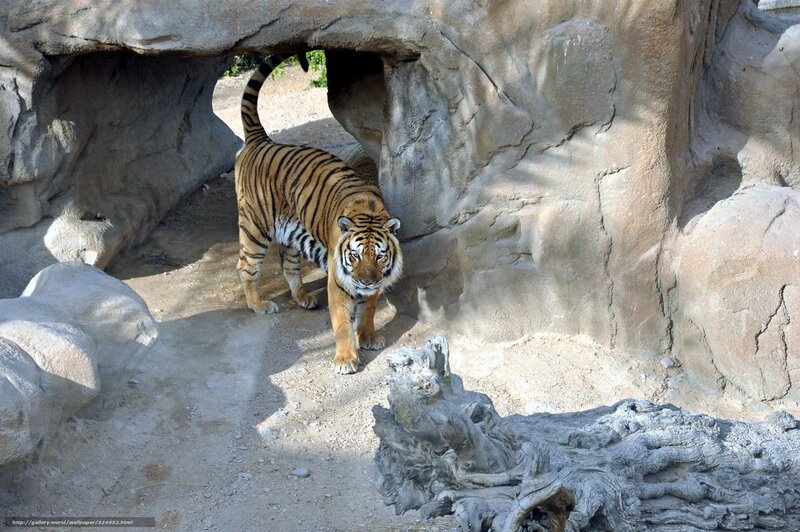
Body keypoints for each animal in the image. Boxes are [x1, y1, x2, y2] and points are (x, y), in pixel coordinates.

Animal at [235, 53, 403, 375]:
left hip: (290, 232)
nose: (365, 282)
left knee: (289, 265)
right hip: (254, 227)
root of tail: (261, 140)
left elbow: (368, 310)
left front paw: (369, 336)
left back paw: (302, 297)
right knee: (246, 266)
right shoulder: (338, 282)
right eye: (354, 256)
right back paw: (259, 304)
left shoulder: (374, 284)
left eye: (379, 256)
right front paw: (345, 359)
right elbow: (342, 323)